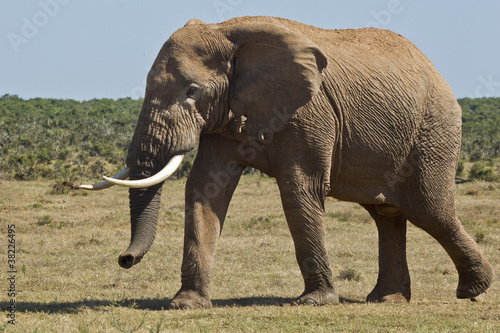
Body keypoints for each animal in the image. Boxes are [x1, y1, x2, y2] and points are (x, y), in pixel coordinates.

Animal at [81, 14, 492, 306]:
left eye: (192, 91)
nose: (124, 259)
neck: (227, 32)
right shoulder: (226, 114)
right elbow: (204, 189)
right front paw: (186, 304)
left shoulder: (309, 112)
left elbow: (300, 188)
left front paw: (315, 302)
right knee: (387, 215)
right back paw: (386, 300)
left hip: (434, 130)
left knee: (429, 209)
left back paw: (472, 291)